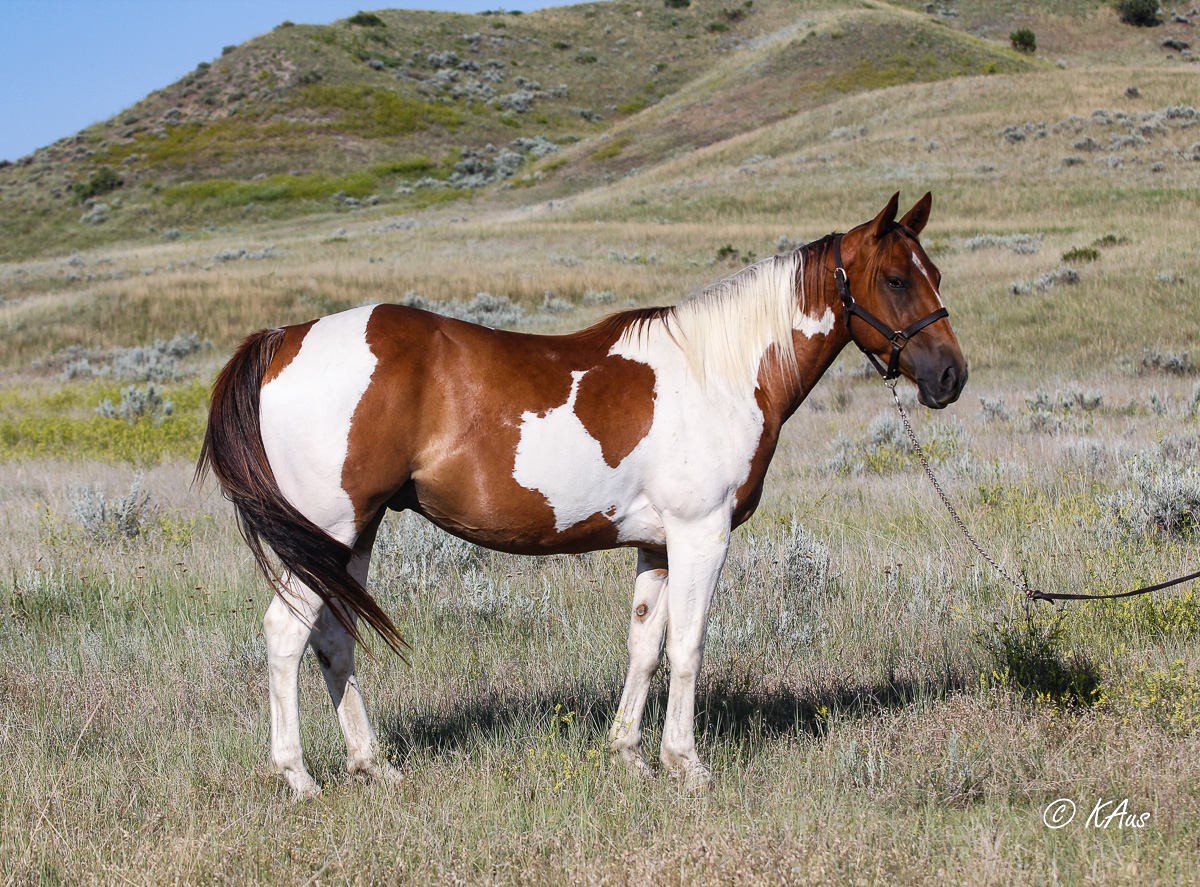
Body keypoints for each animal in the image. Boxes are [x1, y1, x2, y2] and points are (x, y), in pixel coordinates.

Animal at [196, 191, 967, 796]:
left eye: (934, 273)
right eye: (896, 279)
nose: (951, 376)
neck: (718, 372)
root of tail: (286, 337)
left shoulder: (657, 545)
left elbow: (646, 646)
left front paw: (629, 754)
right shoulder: (701, 532)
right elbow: (689, 646)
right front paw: (687, 764)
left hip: (353, 536)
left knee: (332, 638)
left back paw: (372, 764)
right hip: (328, 531)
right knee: (284, 634)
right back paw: (298, 776)